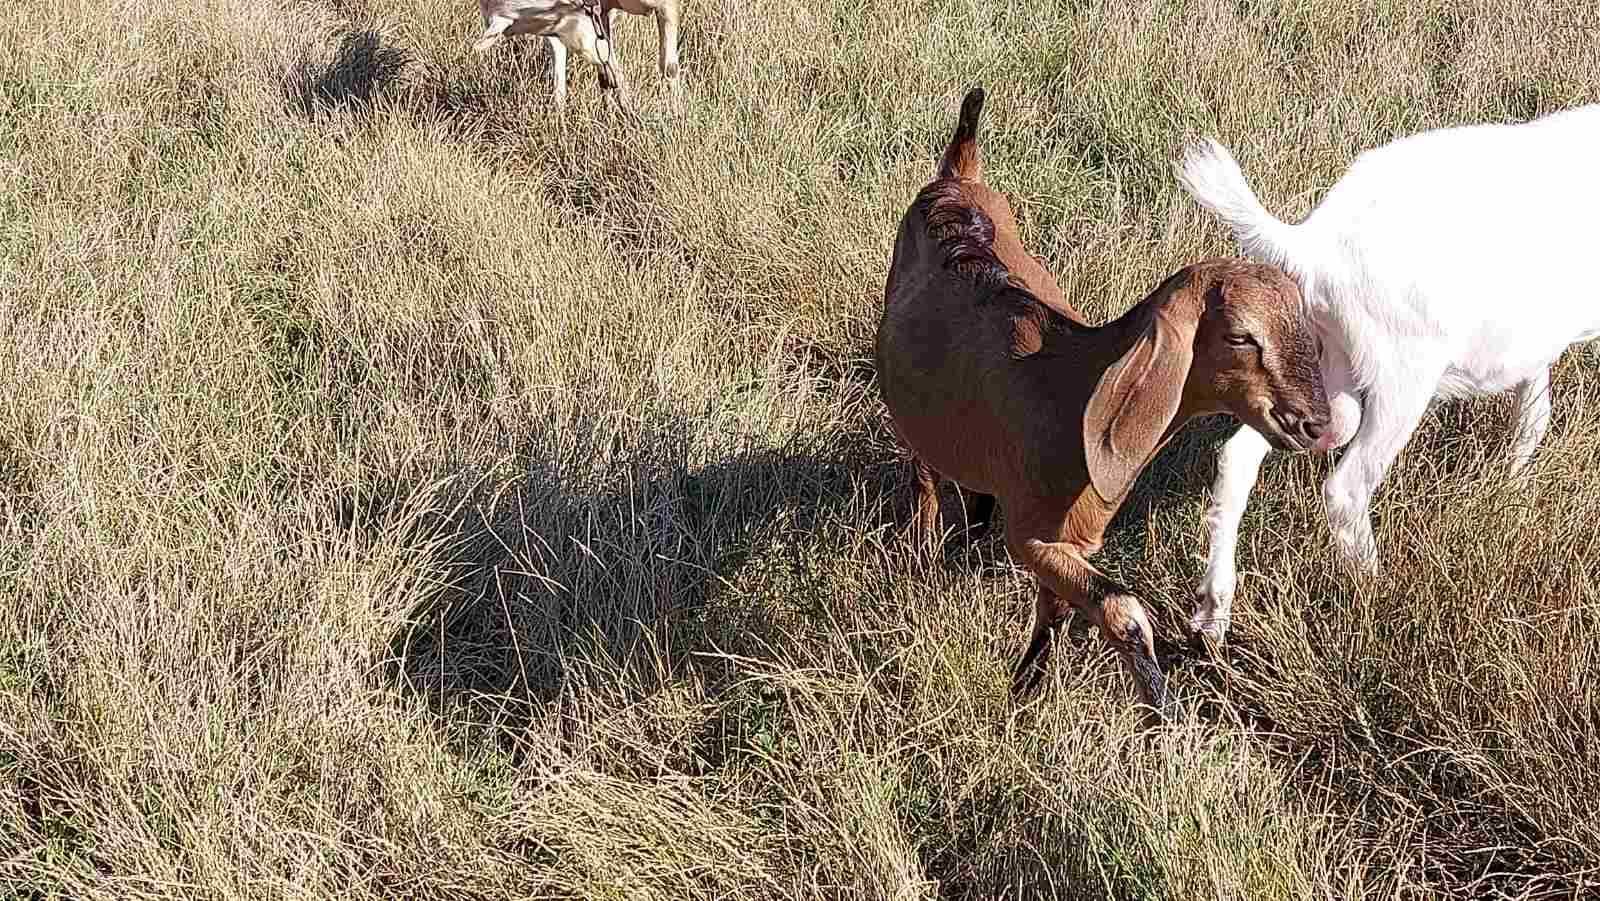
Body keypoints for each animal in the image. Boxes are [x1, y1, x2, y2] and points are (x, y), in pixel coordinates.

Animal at [1177, 105, 1600, 640]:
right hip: (1401, 376)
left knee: (1241, 454)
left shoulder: (1532, 339)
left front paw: (1512, 488)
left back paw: (1214, 611)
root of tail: (1314, 245)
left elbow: (1533, 413)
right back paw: (1379, 595)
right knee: (1345, 488)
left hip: (1325, 377)